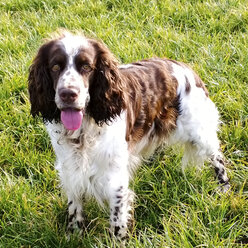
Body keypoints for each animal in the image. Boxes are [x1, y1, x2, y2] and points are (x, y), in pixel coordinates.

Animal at [28, 31, 230, 238]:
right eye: (55, 67)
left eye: (86, 66)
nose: (68, 94)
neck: (84, 131)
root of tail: (185, 67)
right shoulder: (71, 170)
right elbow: (74, 208)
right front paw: (73, 235)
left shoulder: (114, 179)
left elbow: (117, 223)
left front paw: (117, 241)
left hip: (200, 132)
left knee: (217, 157)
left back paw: (223, 189)